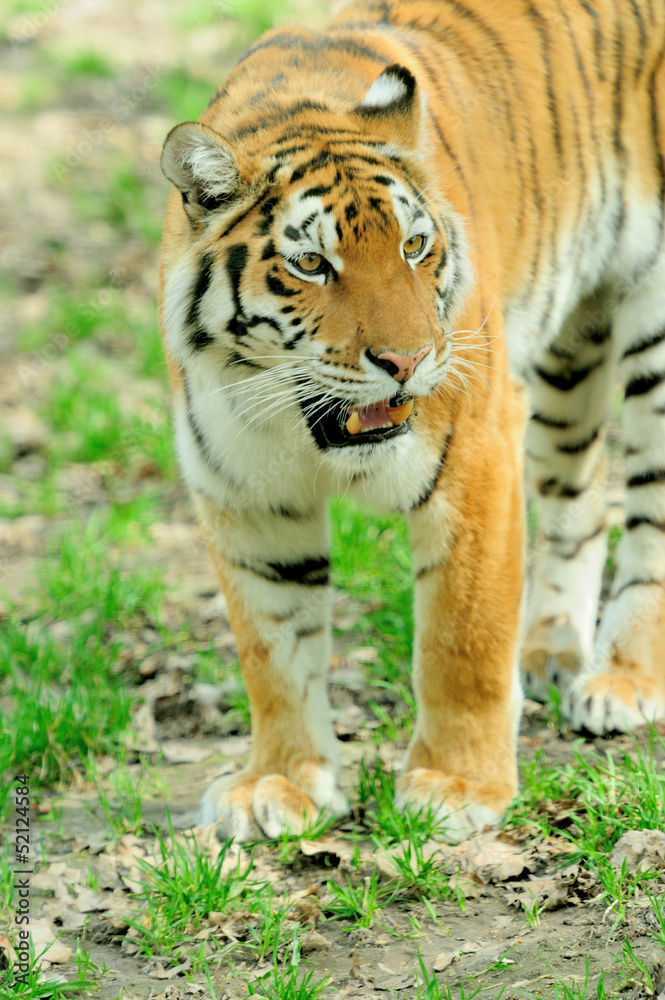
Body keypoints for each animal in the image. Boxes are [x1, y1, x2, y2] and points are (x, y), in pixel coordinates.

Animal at [158, 0, 665, 843]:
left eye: (414, 246)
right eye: (311, 265)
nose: (407, 360)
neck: (293, 423)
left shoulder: (476, 455)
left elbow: (462, 637)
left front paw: (459, 786)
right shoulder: (244, 495)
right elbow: (273, 651)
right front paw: (281, 782)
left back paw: (624, 679)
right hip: (566, 359)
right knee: (583, 495)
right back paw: (552, 650)